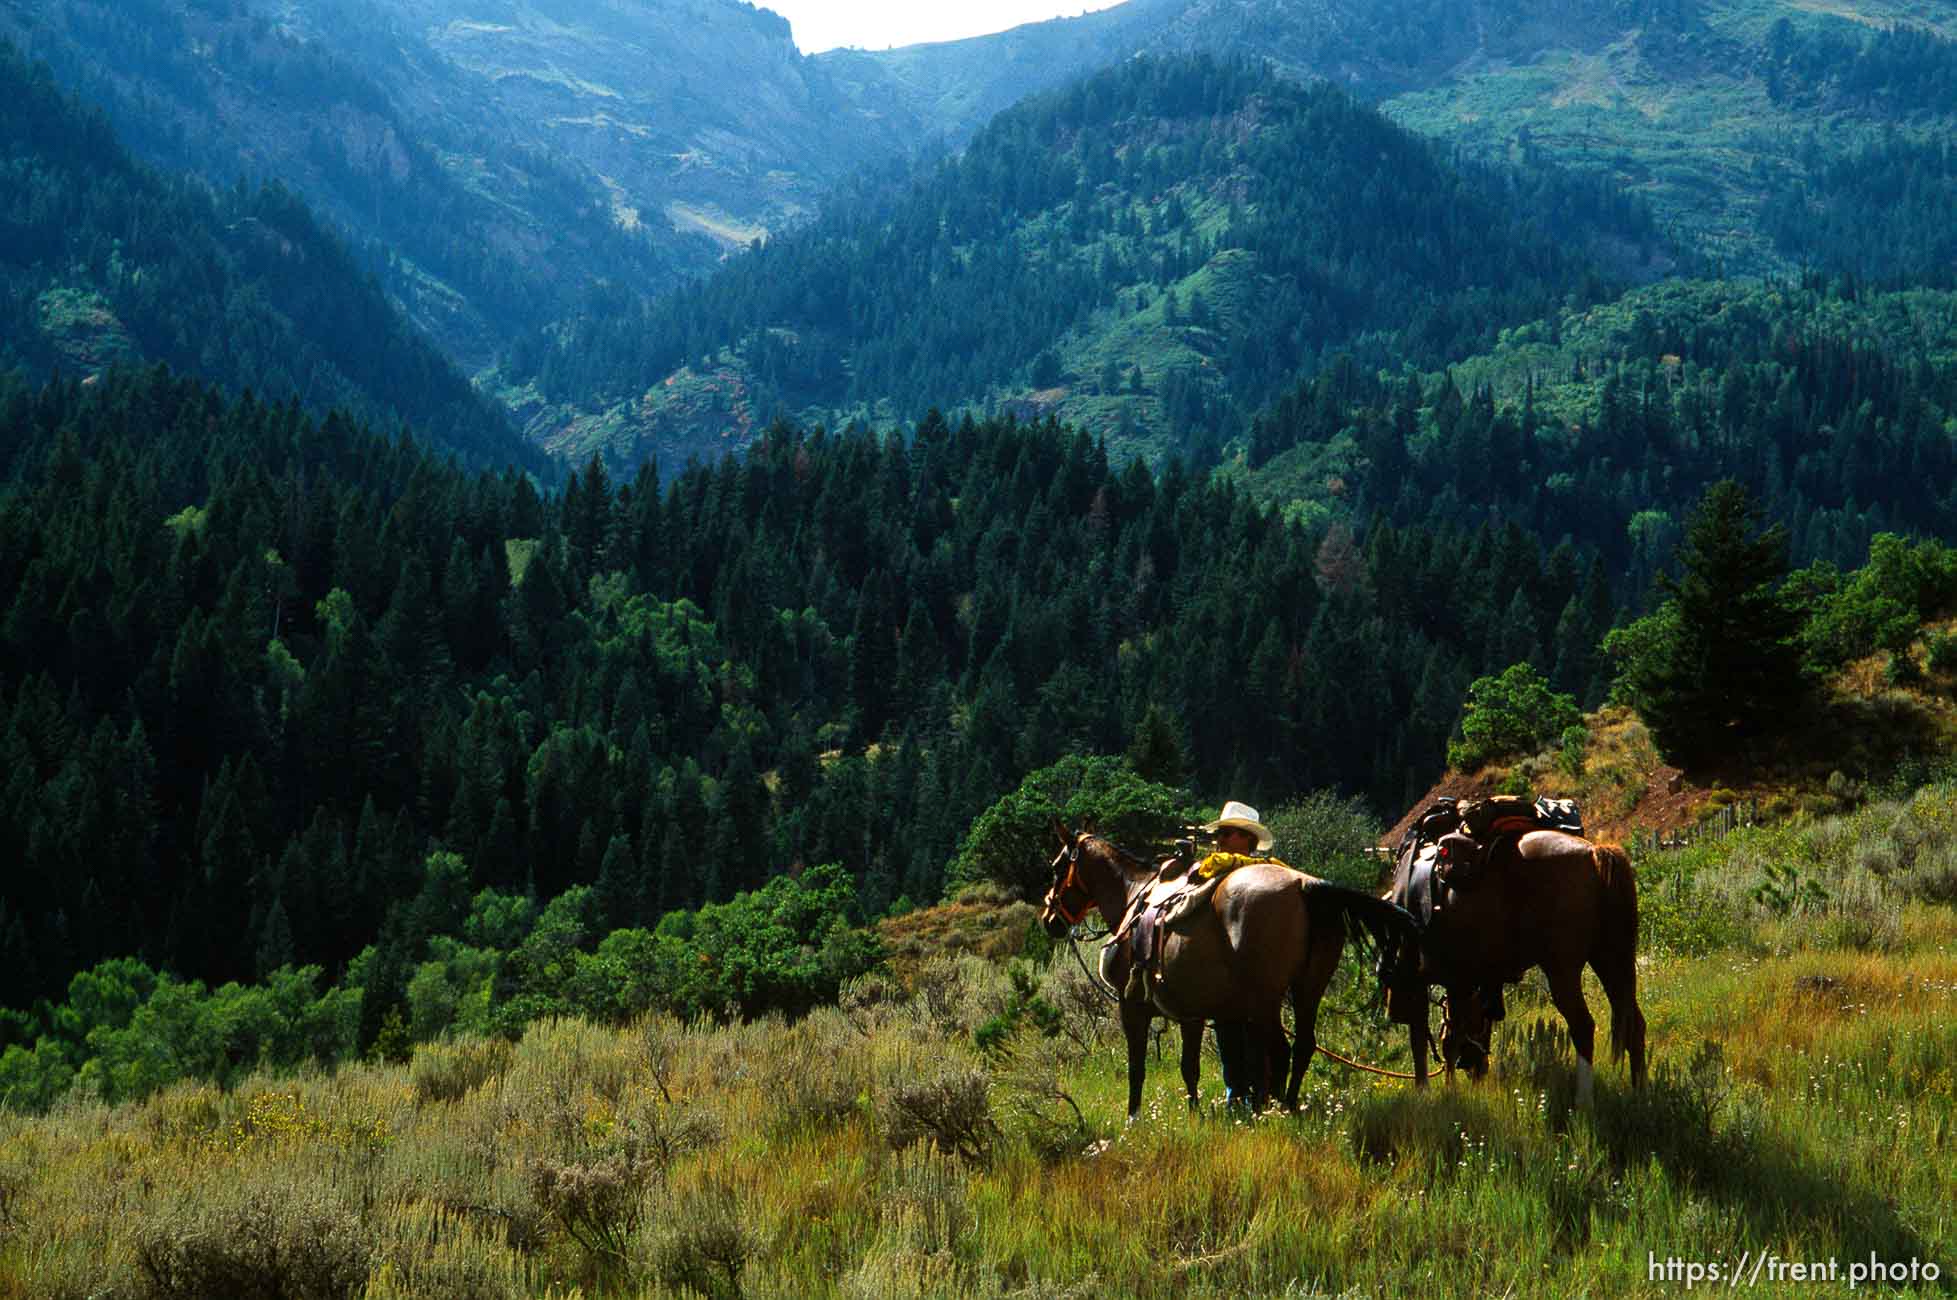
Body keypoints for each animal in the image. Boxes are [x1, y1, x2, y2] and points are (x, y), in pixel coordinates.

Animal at [1041, 826, 1424, 1112]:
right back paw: (1287, 1106)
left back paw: (1271, 1112)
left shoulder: (1131, 1006)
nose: (1049, 919)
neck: (1134, 895)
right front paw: (1194, 1115)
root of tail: (1305, 884)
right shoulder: (1192, 1015)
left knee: (1277, 1052)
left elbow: (1137, 1068)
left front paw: (1133, 1120)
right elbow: (1190, 1069)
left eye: (1058, 867)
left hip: (1266, 1001)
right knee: (1302, 1046)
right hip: (1308, 989)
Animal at [1385, 826, 1643, 1104]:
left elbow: (1423, 1040)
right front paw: (1451, 1088)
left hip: (1562, 970)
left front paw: (1428, 1092)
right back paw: (1641, 1093)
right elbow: (1454, 1035)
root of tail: (1594, 852)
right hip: (1610, 960)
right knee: (1634, 1024)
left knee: (1583, 1026)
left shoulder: (1418, 982)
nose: (1475, 1069)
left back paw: (1583, 1102)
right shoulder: (1463, 982)